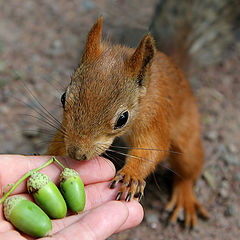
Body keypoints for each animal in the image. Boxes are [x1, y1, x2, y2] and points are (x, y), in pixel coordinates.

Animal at [46, 17, 208, 228]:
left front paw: (131, 176)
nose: (77, 154)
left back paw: (185, 196)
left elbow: (152, 147)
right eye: (63, 98)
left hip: (187, 134)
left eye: (122, 118)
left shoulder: (154, 117)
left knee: (189, 170)